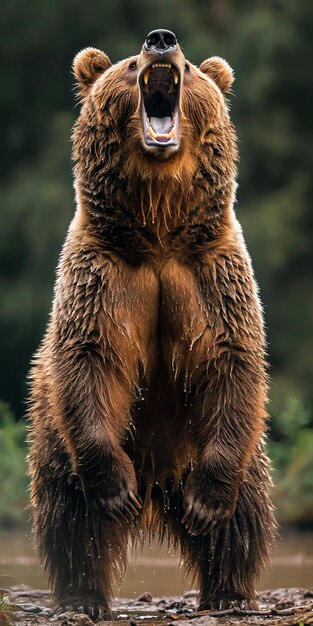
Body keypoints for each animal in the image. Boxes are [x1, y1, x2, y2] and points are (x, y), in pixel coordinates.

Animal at [28, 29, 274, 620]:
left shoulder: (212, 275)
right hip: (57, 437)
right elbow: (89, 357)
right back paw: (84, 594)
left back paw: (230, 590)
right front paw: (115, 493)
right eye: (128, 64)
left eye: (193, 68)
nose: (162, 40)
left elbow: (233, 360)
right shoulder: (103, 275)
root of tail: (158, 483)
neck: (159, 227)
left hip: (230, 451)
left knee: (245, 513)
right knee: (72, 517)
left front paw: (206, 507)